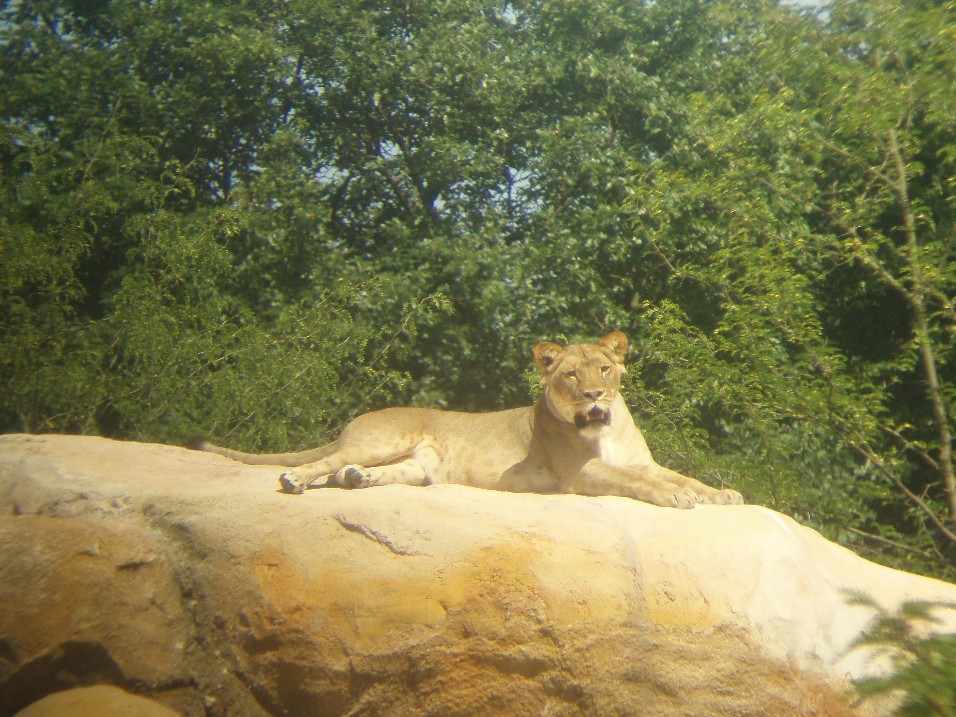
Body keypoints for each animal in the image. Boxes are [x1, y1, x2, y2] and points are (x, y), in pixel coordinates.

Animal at [191, 331, 743, 509]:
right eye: (570, 373)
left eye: (604, 369)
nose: (593, 395)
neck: (602, 426)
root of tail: (355, 421)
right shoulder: (579, 472)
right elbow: (638, 483)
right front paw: (678, 498)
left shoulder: (640, 460)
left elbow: (678, 475)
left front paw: (722, 494)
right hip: (380, 440)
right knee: (321, 463)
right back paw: (294, 480)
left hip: (416, 467)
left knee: (355, 471)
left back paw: (353, 480)